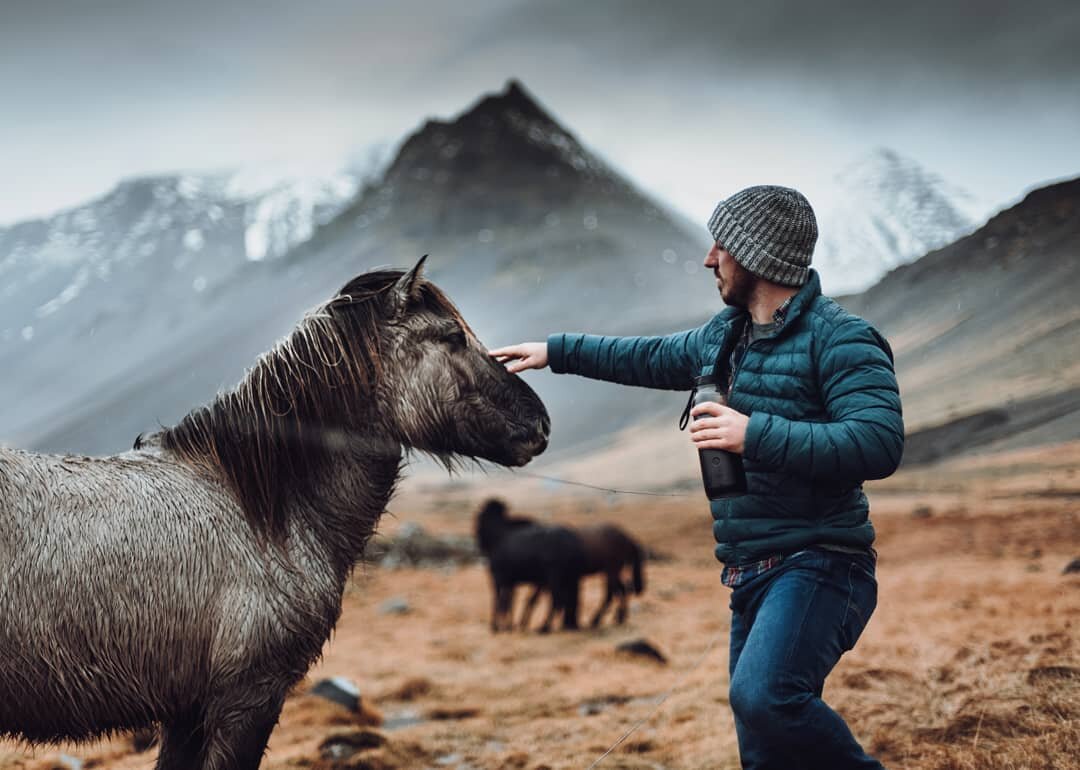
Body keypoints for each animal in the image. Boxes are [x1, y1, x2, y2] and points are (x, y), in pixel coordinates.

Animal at [477, 498, 587, 630]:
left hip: (554, 577)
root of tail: (573, 541)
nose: (479, 544)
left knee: (557, 600)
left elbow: (499, 600)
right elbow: (510, 602)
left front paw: (496, 626)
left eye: (480, 518)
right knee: (566, 601)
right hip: (567, 578)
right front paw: (510, 625)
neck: (499, 535)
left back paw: (544, 627)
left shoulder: (498, 577)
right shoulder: (512, 582)